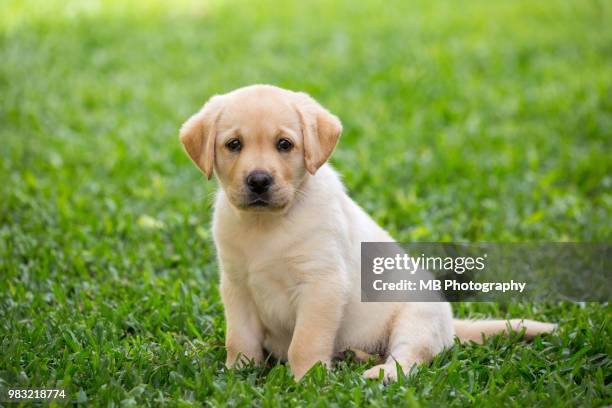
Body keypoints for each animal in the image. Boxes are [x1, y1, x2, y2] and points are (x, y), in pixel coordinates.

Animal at [179, 84, 556, 380]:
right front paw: (236, 374)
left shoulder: (322, 284)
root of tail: (450, 326)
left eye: (284, 144)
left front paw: (306, 381)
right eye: (234, 144)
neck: (267, 225)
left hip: (416, 316)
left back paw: (380, 373)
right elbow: (240, 339)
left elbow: (305, 342)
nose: (258, 181)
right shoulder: (237, 286)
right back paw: (354, 356)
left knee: (410, 357)